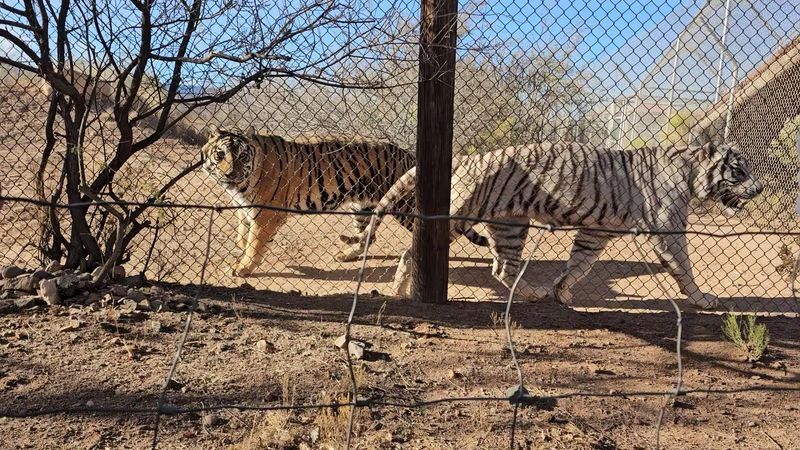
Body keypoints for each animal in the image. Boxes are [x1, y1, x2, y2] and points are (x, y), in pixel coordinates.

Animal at [200, 126, 488, 277]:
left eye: (241, 156)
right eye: (220, 155)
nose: (230, 173)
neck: (242, 184)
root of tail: (408, 155)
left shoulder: (266, 213)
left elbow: (255, 242)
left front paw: (243, 267)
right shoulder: (245, 208)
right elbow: (243, 233)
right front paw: (241, 246)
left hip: (405, 207)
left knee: (444, 231)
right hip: (362, 206)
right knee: (368, 236)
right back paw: (346, 255)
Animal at [339, 141, 763, 310]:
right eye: (738, 170)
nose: (759, 189)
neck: (691, 173)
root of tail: (468, 156)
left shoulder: (597, 230)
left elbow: (580, 264)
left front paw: (562, 291)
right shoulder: (668, 227)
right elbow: (684, 267)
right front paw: (704, 299)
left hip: (510, 225)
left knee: (502, 268)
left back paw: (534, 294)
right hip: (459, 218)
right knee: (412, 248)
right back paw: (400, 288)